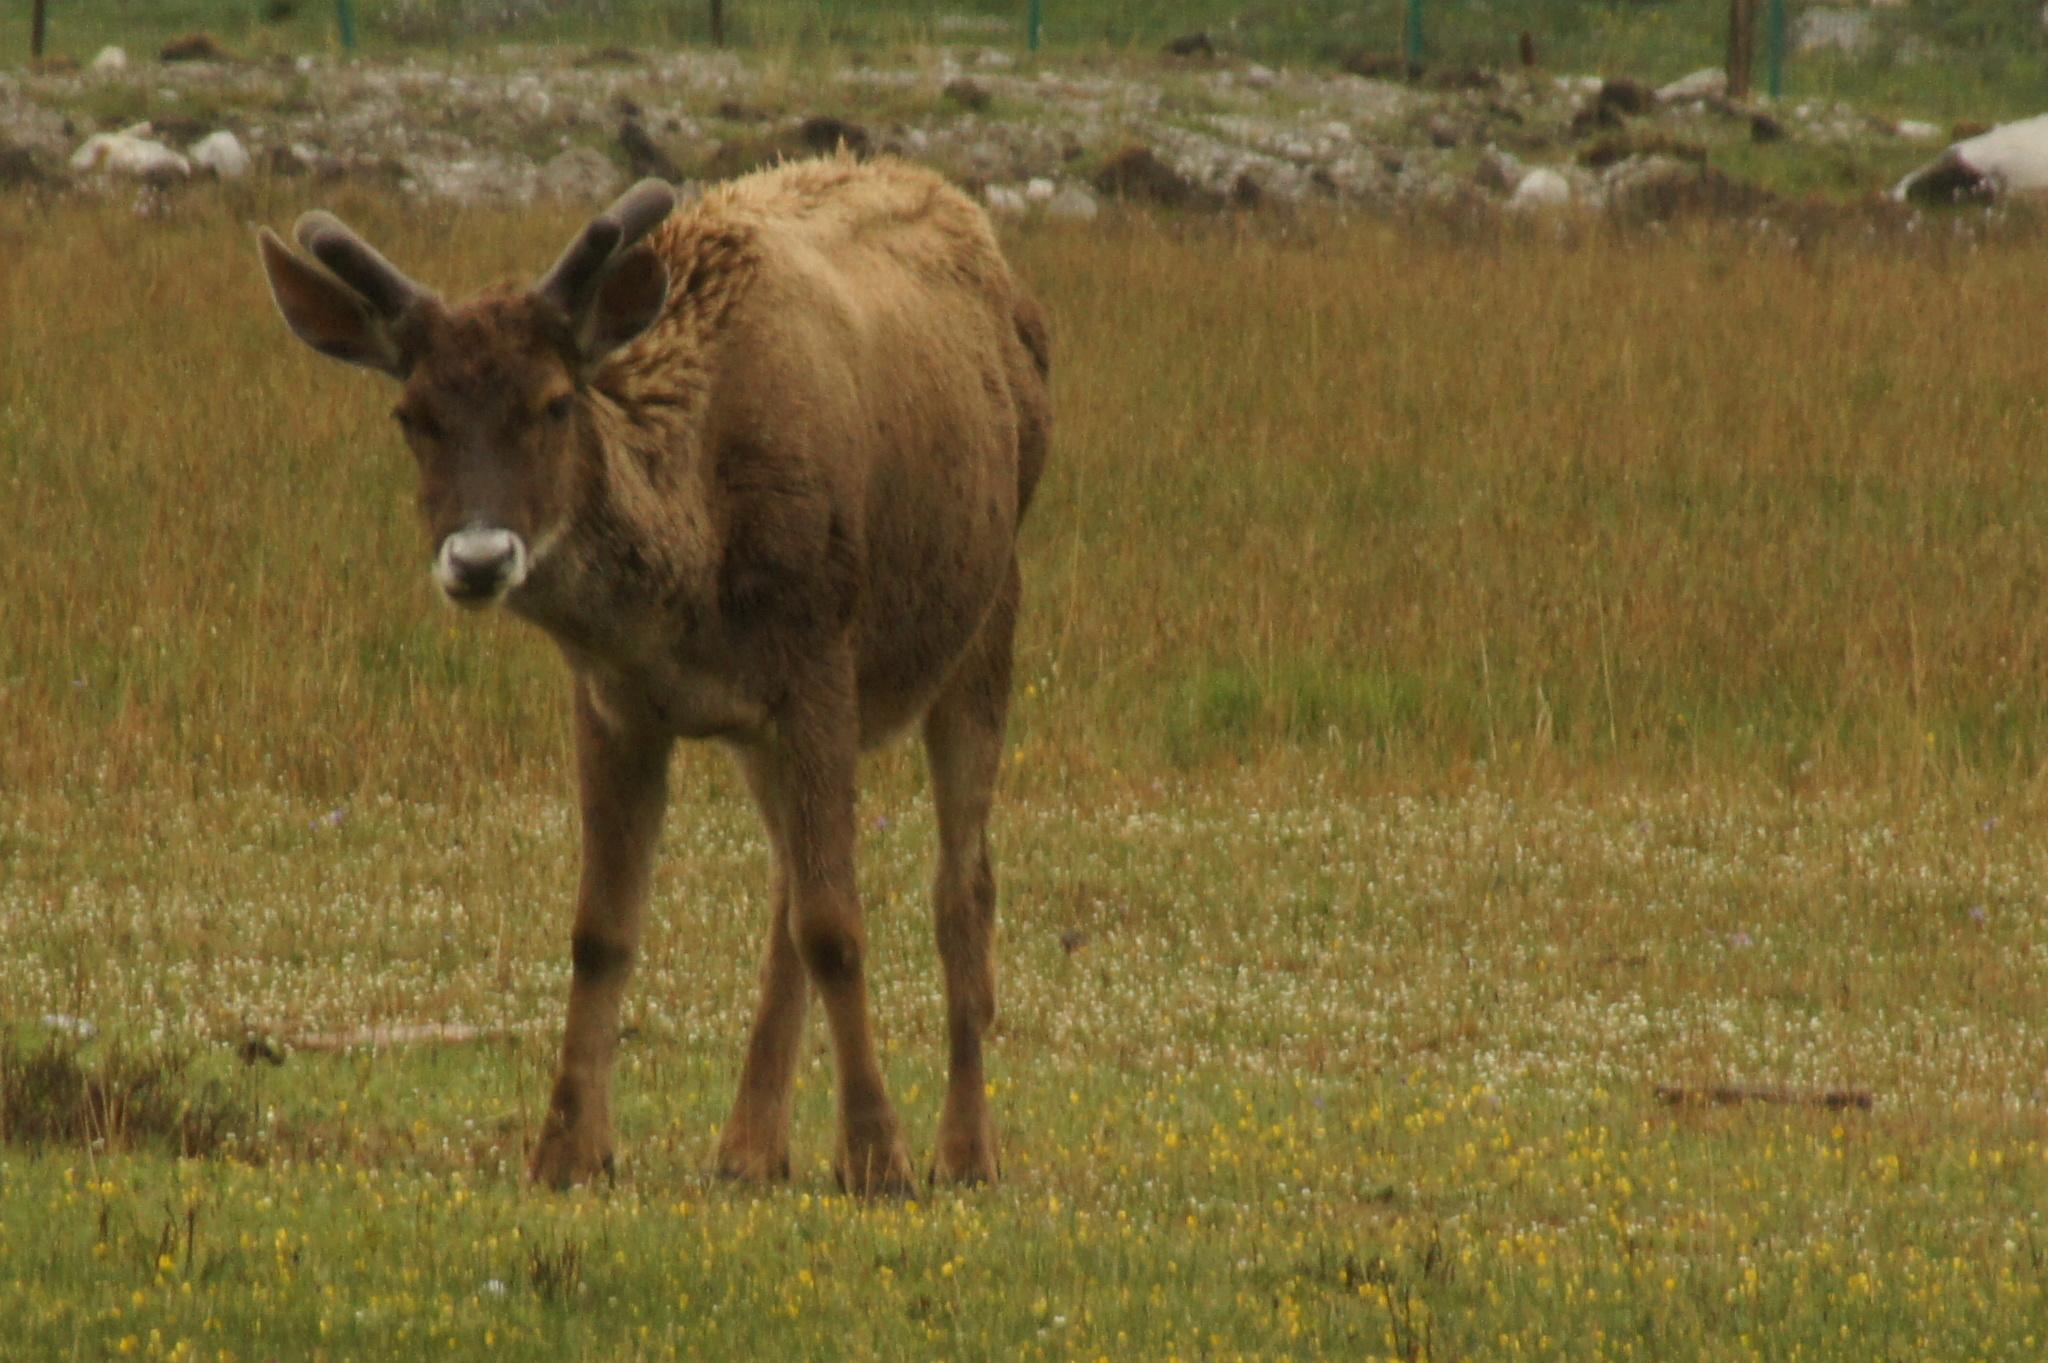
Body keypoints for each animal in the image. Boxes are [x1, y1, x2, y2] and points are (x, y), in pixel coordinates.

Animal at [256, 156, 1051, 1195]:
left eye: (556, 401)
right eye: (410, 415)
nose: (478, 557)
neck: (694, 576)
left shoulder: (819, 655)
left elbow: (838, 922)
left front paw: (880, 1157)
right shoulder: (613, 701)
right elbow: (602, 929)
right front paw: (566, 1149)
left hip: (988, 606)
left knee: (960, 885)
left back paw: (966, 1149)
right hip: (769, 730)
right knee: (786, 888)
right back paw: (749, 1145)